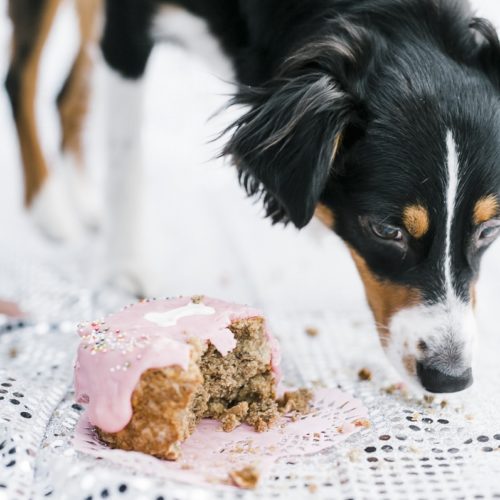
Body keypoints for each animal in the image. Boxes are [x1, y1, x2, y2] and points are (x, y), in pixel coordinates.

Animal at [5, 0, 500, 394]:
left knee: (66, 94)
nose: (450, 378)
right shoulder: (126, 29)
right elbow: (125, 156)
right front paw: (123, 271)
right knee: (21, 79)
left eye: (490, 229)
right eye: (386, 229)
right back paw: (48, 207)